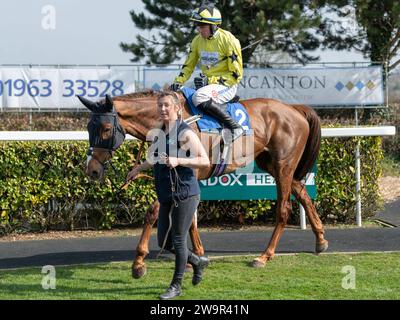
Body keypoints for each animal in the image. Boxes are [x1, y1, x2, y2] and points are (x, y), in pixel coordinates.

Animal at [78, 90, 328, 278]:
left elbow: (154, 212)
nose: (92, 169)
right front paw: (196, 256)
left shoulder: (186, 173)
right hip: (271, 164)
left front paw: (139, 262)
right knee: (302, 193)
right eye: (89, 128)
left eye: (106, 129)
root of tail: (294, 109)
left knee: (284, 209)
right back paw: (321, 240)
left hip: (283, 165)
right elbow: (189, 221)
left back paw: (265, 256)